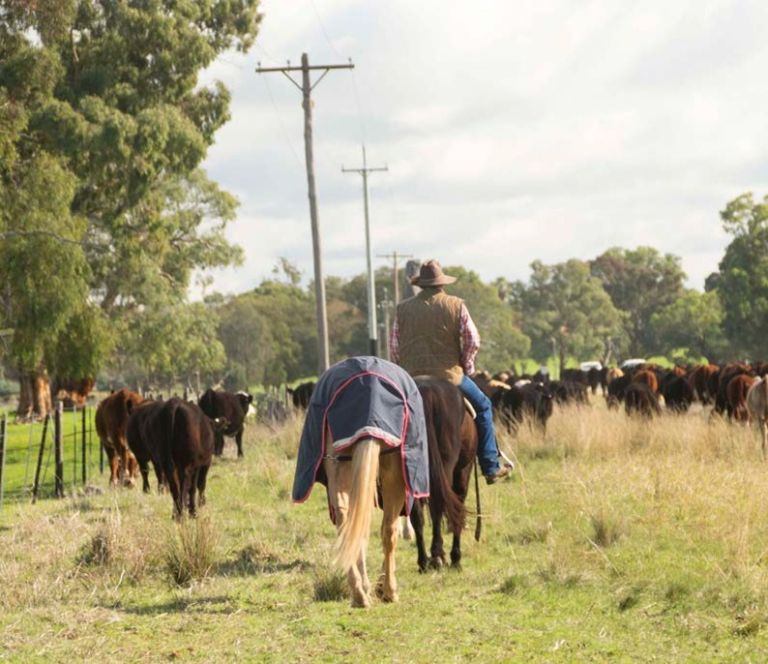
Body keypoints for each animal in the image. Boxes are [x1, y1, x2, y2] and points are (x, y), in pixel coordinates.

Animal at [324, 434, 408, 608]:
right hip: (394, 473)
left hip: (339, 465)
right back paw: (389, 591)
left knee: (347, 524)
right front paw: (382, 586)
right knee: (389, 531)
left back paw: (359, 594)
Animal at [412, 378, 476, 572]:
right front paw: (456, 557)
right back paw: (438, 556)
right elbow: (457, 507)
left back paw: (423, 561)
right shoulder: (464, 470)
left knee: (417, 512)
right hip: (449, 466)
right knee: (439, 505)